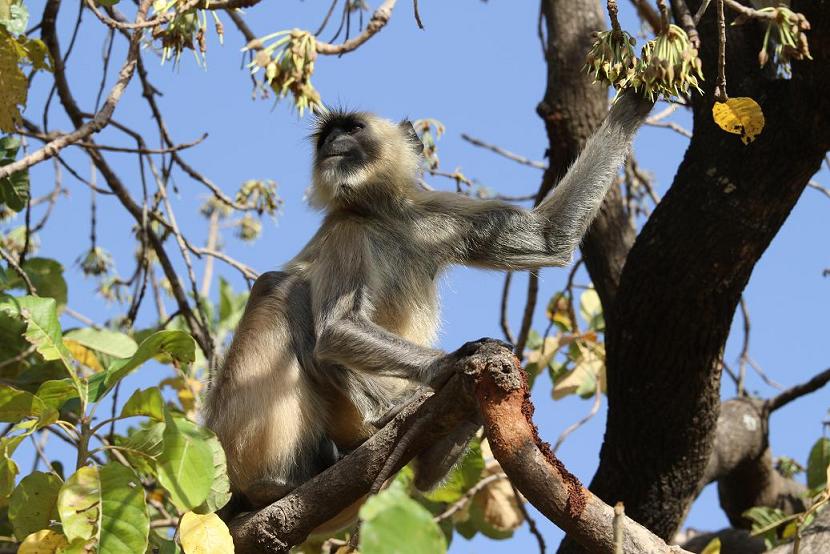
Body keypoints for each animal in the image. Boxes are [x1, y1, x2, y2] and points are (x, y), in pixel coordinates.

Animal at [203, 89, 656, 520]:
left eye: (351, 128)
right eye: (325, 137)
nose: (331, 141)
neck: (379, 214)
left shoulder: (434, 214)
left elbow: (549, 236)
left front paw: (639, 97)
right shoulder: (345, 231)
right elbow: (335, 329)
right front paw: (453, 361)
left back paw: (436, 452)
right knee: (282, 288)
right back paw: (293, 471)